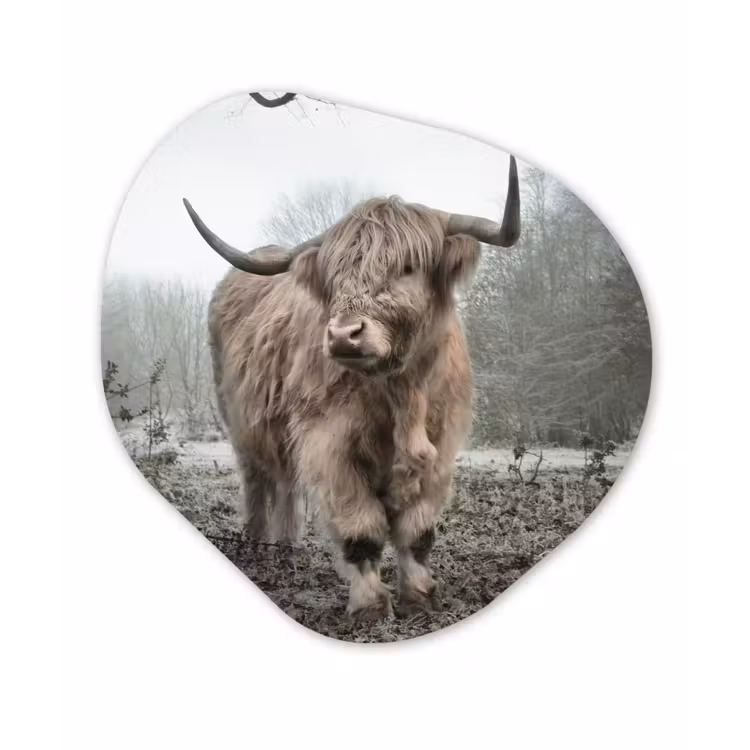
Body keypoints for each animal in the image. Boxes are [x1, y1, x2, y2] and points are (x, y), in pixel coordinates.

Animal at [182, 157, 521, 621]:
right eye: (336, 275)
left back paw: (286, 547)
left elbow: (418, 532)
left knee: (285, 482)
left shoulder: (441, 447)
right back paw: (256, 546)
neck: (401, 394)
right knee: (257, 481)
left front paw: (420, 596)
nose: (344, 335)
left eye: (408, 267)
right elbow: (362, 530)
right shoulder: (330, 446)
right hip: (240, 423)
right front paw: (370, 606)